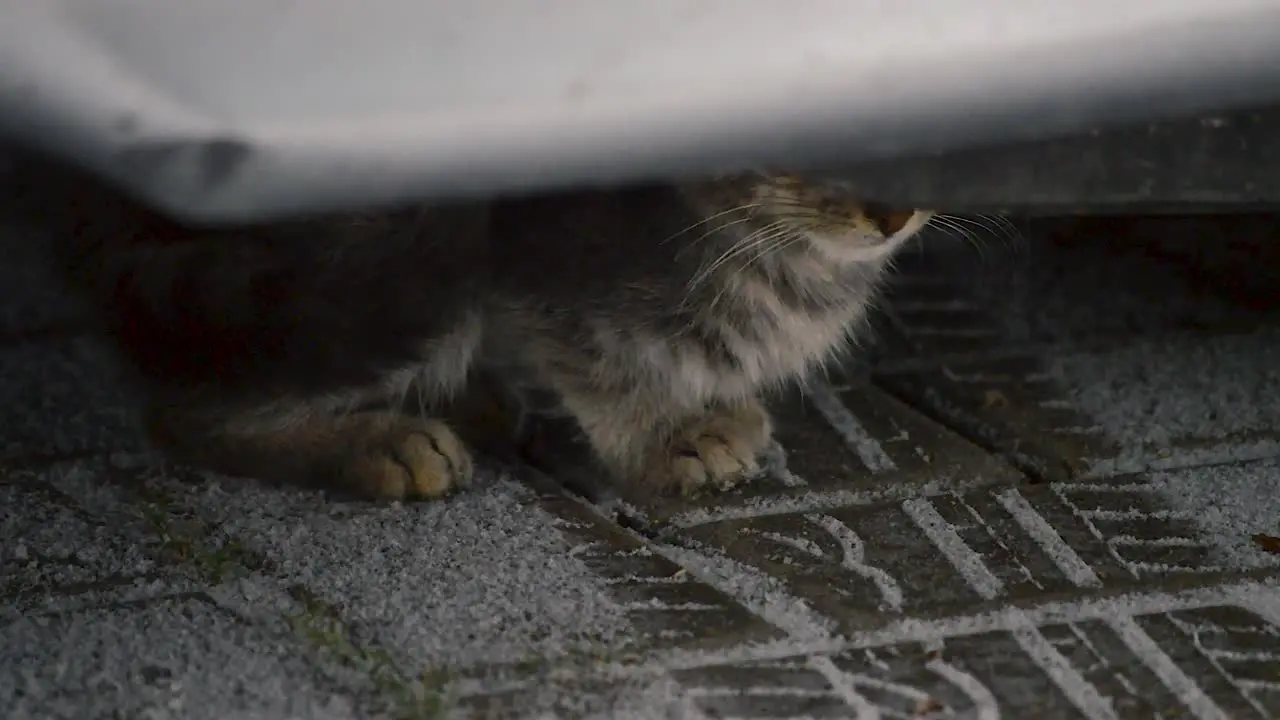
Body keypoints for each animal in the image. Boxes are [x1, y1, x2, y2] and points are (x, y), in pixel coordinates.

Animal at [57, 170, 931, 499]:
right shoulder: (546, 273)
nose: (895, 211)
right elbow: (602, 367)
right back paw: (377, 441)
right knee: (182, 410)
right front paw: (665, 434)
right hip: (367, 272)